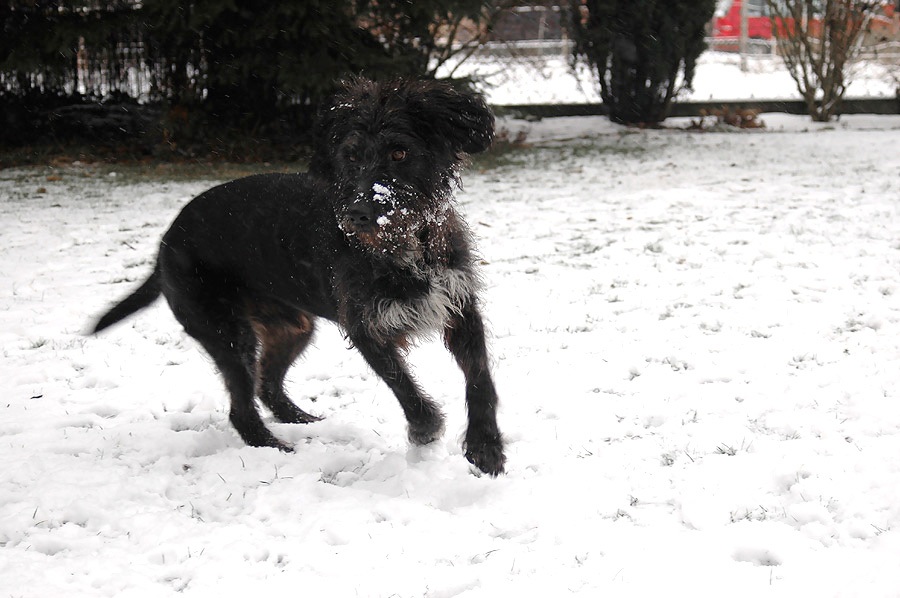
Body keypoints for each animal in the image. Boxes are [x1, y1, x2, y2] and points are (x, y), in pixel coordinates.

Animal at [91, 76, 506, 478]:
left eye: (399, 153)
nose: (357, 215)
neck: (407, 246)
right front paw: (425, 429)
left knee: (268, 384)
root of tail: (166, 241)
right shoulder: (365, 327)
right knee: (241, 406)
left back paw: (301, 419)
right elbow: (402, 385)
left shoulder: (459, 307)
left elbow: (480, 380)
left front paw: (485, 446)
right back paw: (272, 447)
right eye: (351, 157)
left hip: (293, 326)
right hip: (226, 332)